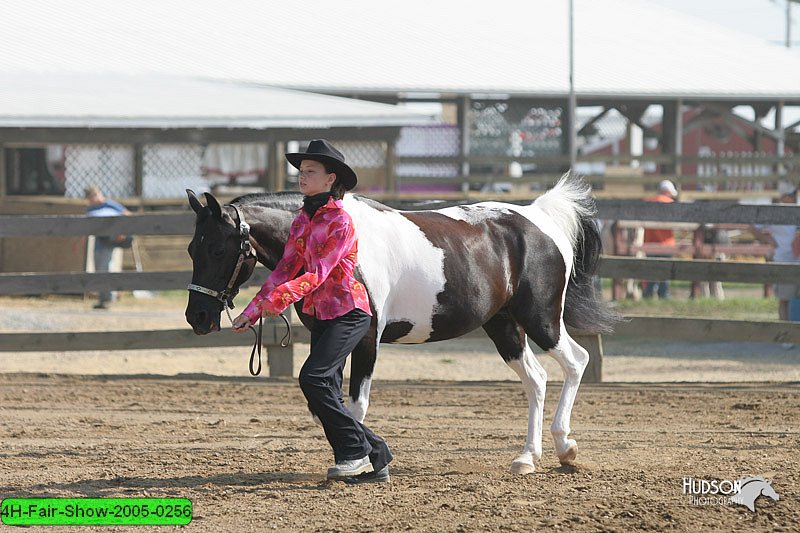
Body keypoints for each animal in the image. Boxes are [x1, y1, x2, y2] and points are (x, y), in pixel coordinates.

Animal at [184, 175, 616, 474]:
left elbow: (354, 404)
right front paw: (360, 455)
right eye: (192, 247)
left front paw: (360, 462)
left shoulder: (366, 338)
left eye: (218, 248)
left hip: (541, 319)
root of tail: (540, 217)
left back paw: (565, 448)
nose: (197, 317)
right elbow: (323, 402)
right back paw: (527, 457)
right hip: (503, 325)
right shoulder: (325, 336)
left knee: (576, 361)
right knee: (536, 379)